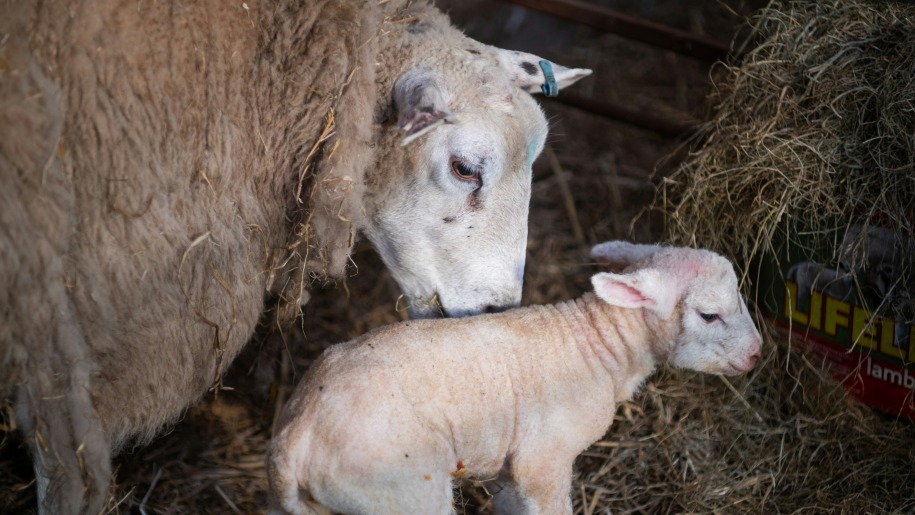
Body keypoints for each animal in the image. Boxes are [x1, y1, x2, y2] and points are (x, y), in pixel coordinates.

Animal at [267, 241, 762, 515]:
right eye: (709, 315)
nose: (758, 353)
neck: (597, 344)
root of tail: (298, 437)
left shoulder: (507, 468)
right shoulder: (543, 461)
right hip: (399, 494)